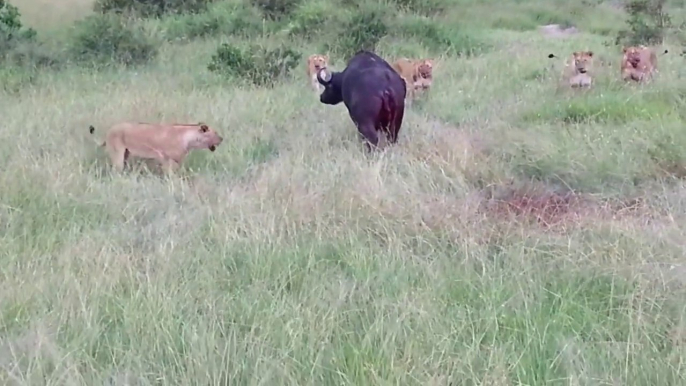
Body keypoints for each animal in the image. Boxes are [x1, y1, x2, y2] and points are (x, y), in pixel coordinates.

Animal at [88, 122, 223, 173]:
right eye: (215, 133)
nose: (222, 139)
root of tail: (110, 129)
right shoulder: (167, 159)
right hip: (117, 155)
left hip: (126, 154)